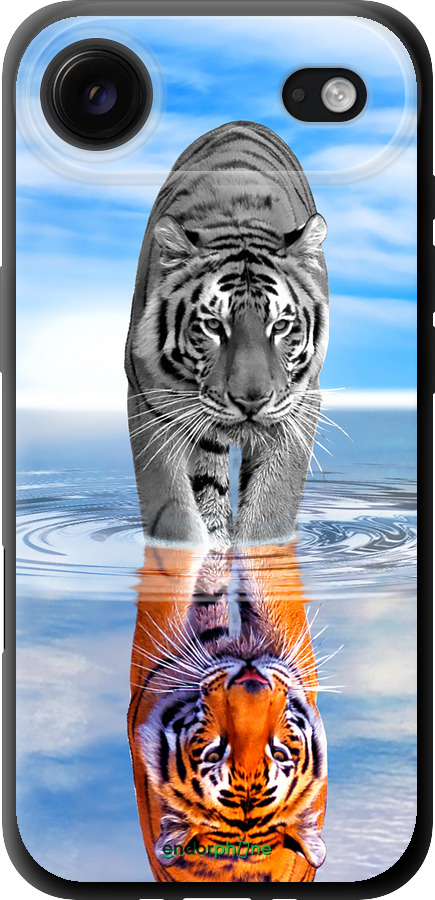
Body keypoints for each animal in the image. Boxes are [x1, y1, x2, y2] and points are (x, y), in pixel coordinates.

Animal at [125, 121, 329, 549]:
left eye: (280, 326)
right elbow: (173, 511)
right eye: (213, 326)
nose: (251, 401)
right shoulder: (149, 401)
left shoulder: (300, 404)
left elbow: (271, 508)